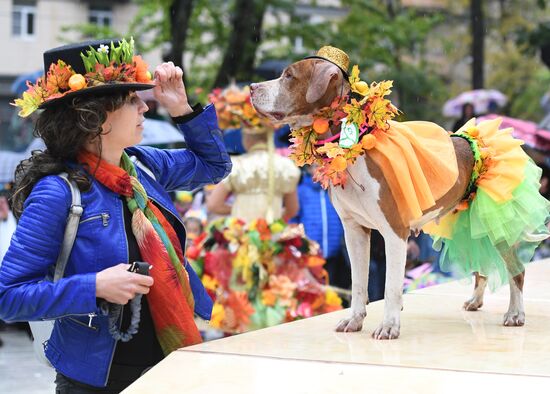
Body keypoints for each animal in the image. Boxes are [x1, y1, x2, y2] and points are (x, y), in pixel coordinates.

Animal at [251, 54, 548, 338]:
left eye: (289, 76)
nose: (252, 87)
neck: (351, 147)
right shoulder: (354, 231)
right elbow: (358, 283)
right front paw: (354, 320)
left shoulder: (395, 232)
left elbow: (391, 286)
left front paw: (389, 326)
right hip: (472, 222)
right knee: (481, 262)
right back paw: (475, 300)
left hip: (497, 223)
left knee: (516, 270)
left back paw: (515, 313)